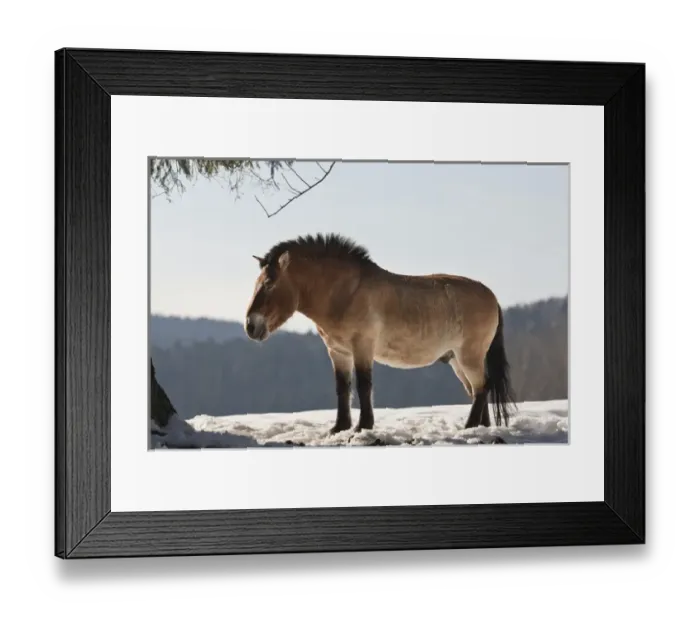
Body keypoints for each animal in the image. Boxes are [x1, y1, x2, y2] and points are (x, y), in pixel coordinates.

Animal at [244, 233, 516, 435]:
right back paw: (481, 428)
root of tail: (492, 297)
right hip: (457, 360)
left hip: (469, 356)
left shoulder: (362, 346)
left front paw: (363, 426)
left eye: (269, 283)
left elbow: (364, 385)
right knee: (478, 390)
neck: (346, 292)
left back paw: (469, 427)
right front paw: (339, 427)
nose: (250, 326)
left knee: (481, 387)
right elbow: (342, 387)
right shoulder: (338, 351)